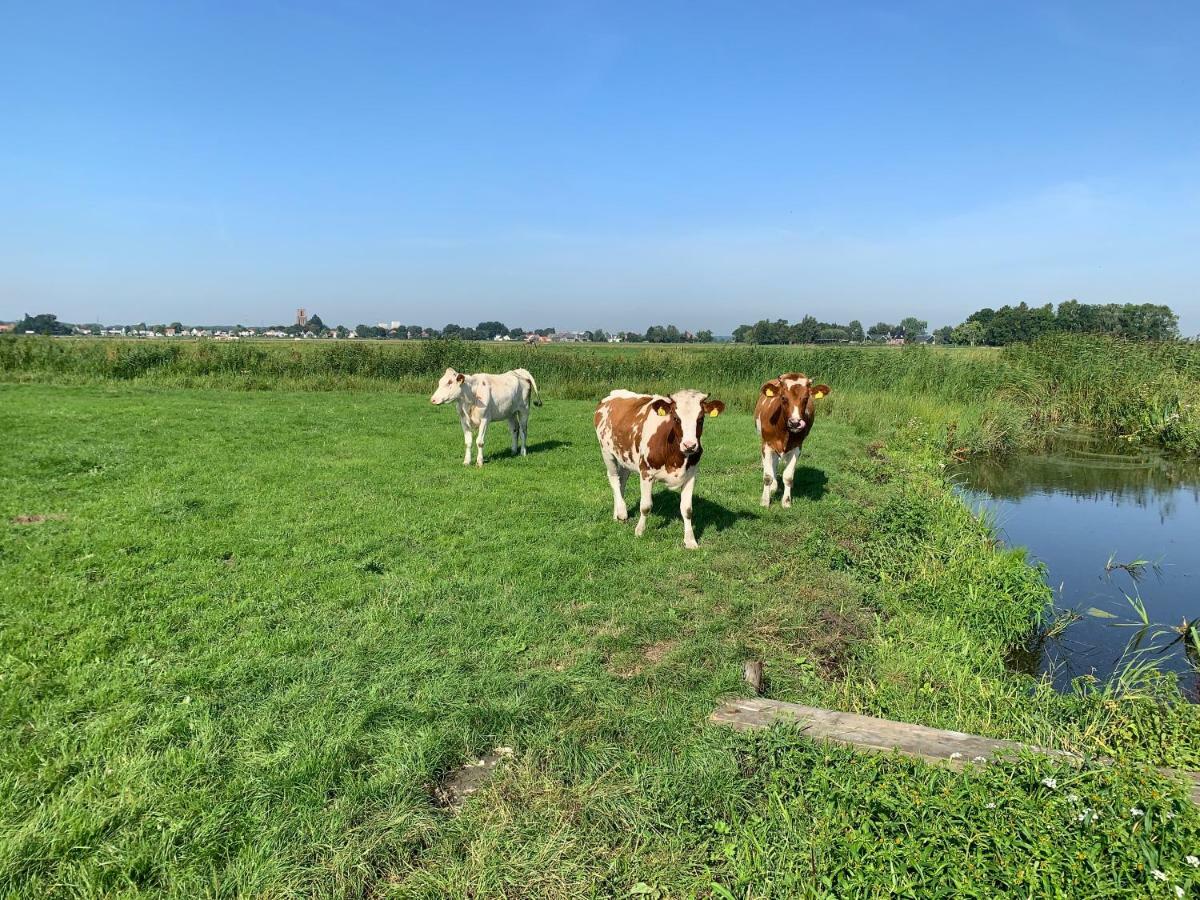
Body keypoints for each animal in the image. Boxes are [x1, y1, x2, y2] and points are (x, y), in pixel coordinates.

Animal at [590, 388, 720, 549]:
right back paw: (621, 512)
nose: (690, 445)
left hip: (625, 457)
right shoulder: (646, 472)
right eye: (676, 418)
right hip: (606, 452)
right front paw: (640, 531)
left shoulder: (691, 476)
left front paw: (690, 540)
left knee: (622, 481)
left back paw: (617, 513)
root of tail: (613, 394)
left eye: (700, 419)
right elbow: (645, 506)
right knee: (614, 478)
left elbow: (687, 510)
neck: (675, 456)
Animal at [753, 374, 830, 511]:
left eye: (806, 398)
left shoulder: (797, 447)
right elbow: (767, 476)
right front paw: (765, 501)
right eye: (783, 398)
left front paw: (786, 501)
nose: (795, 422)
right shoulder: (766, 444)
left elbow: (788, 477)